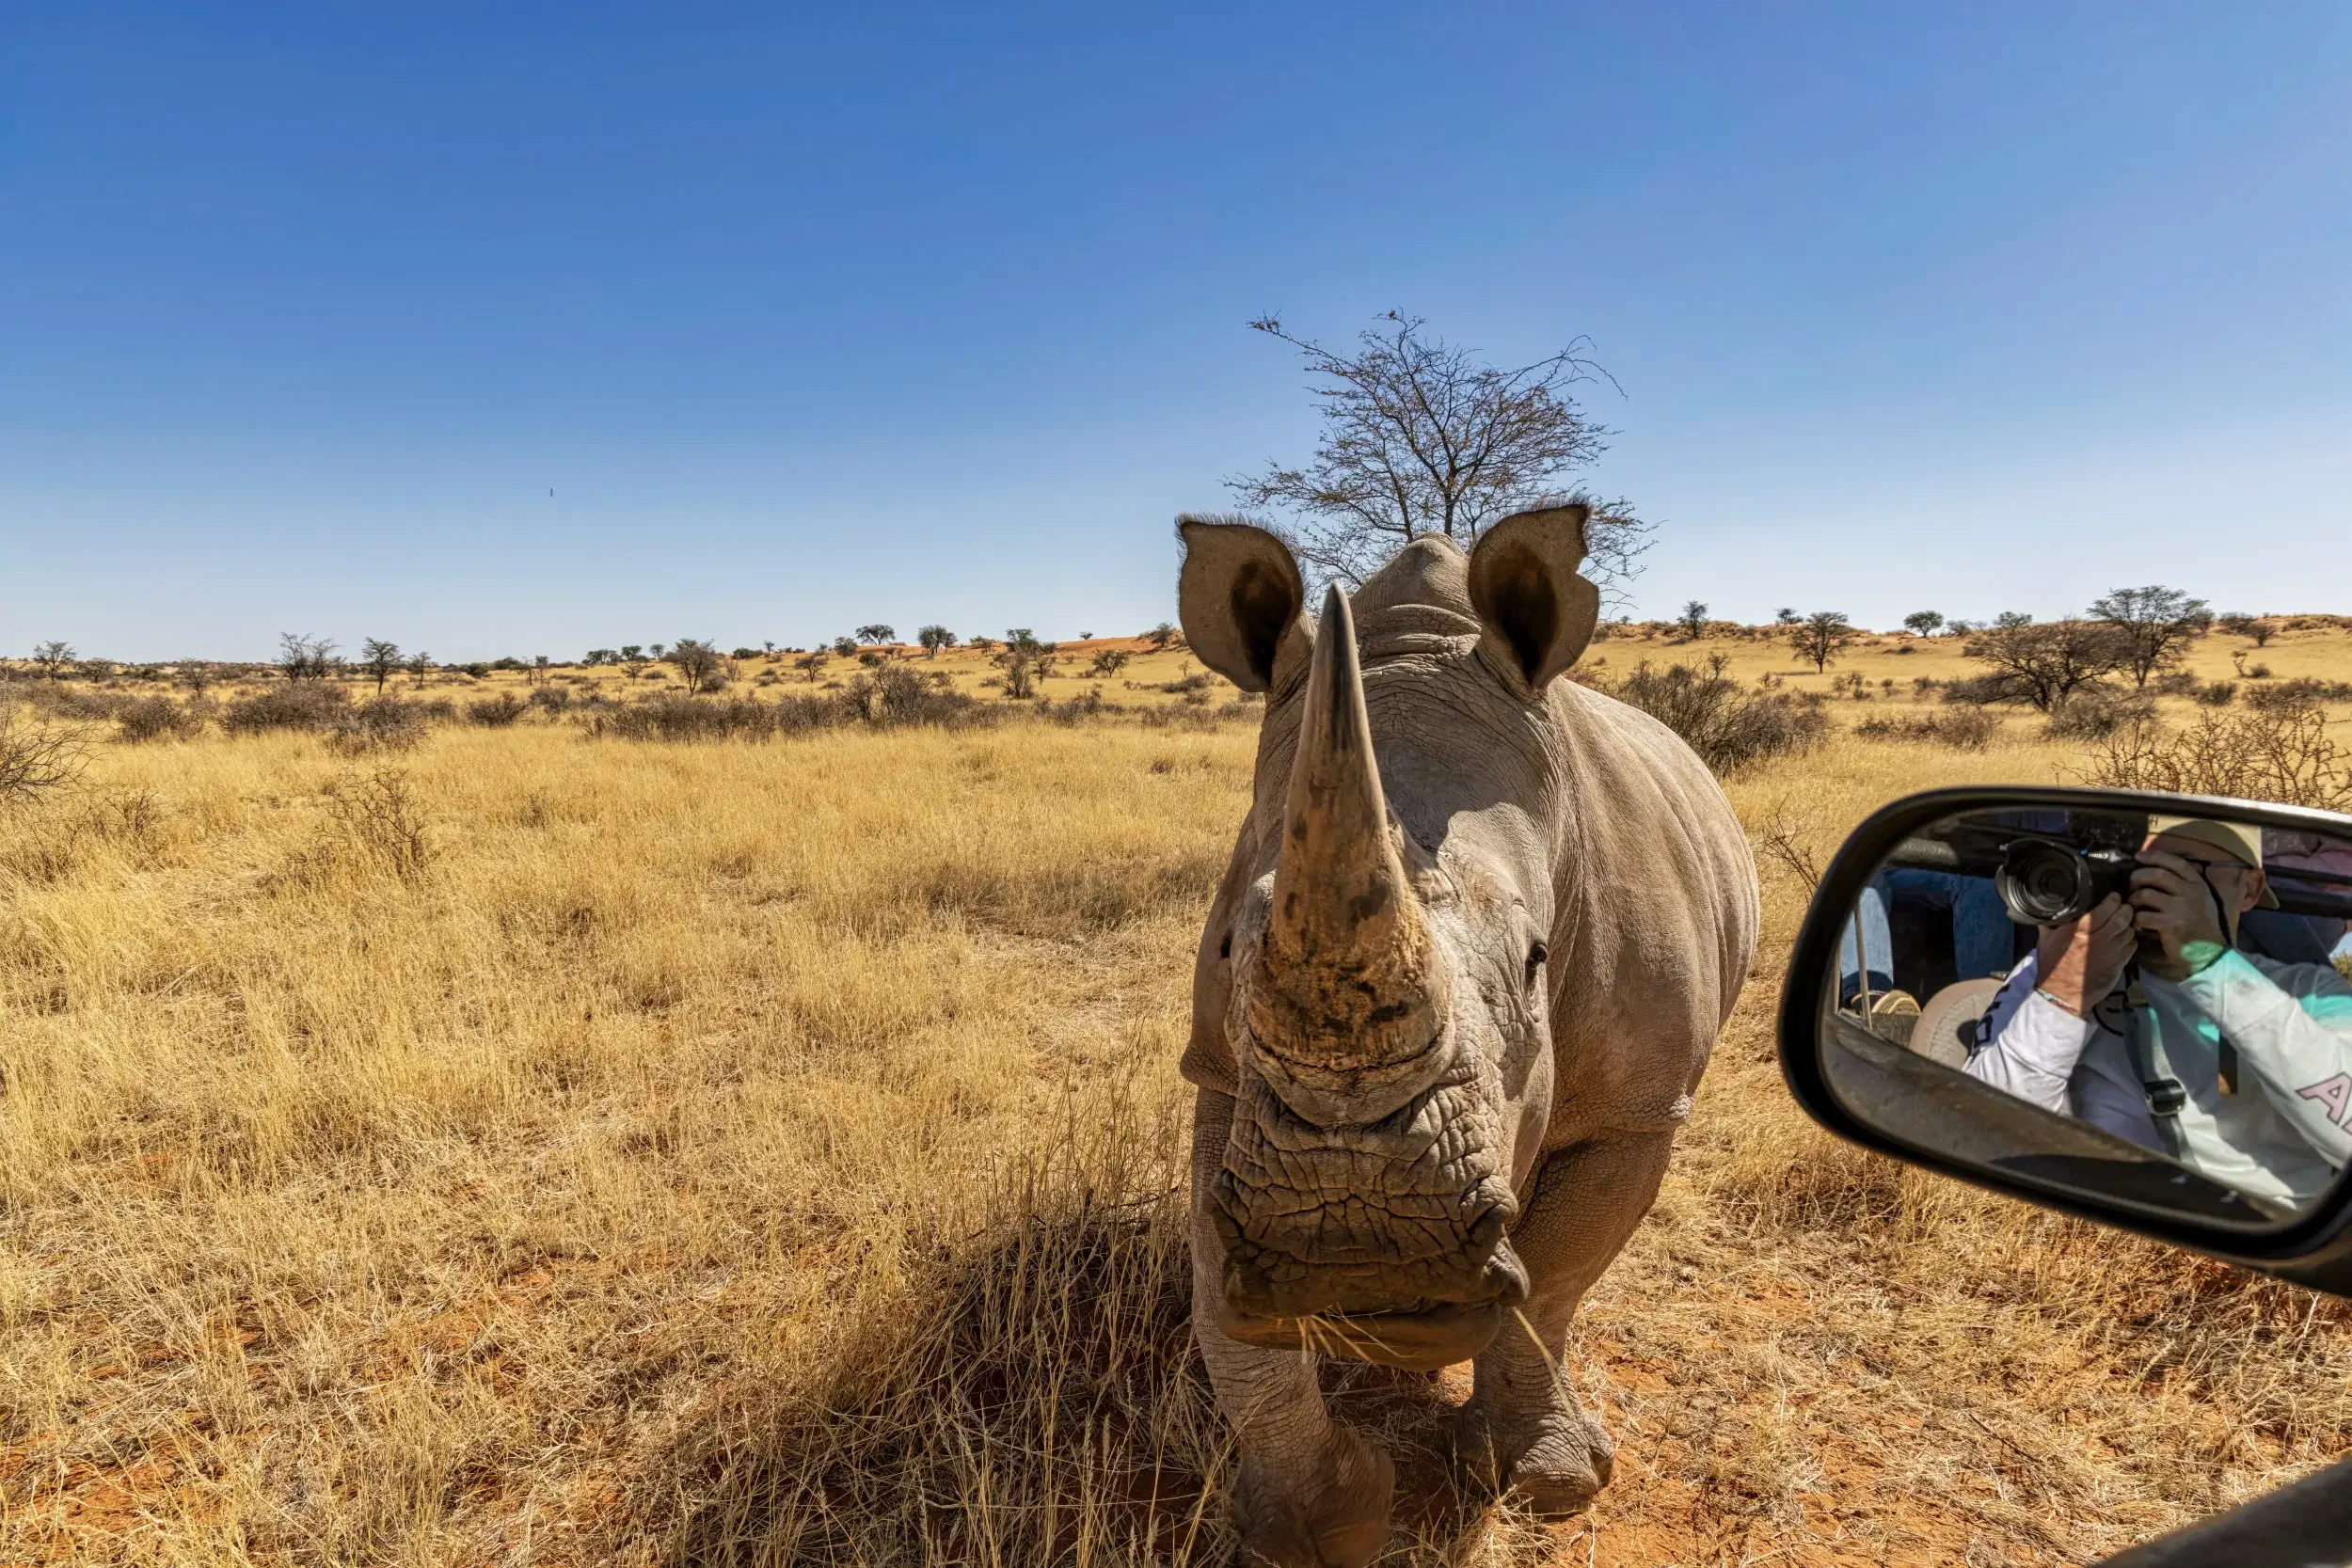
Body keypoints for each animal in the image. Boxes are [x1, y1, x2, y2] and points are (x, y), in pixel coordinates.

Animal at [1174, 503, 1758, 1564]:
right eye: (1233, 945)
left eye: (1535, 959)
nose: (1354, 1249)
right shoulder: (1225, 1074)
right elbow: (1218, 1291)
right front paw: (1318, 1522)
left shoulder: (1640, 1102)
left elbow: (1555, 1276)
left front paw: (1547, 1483)